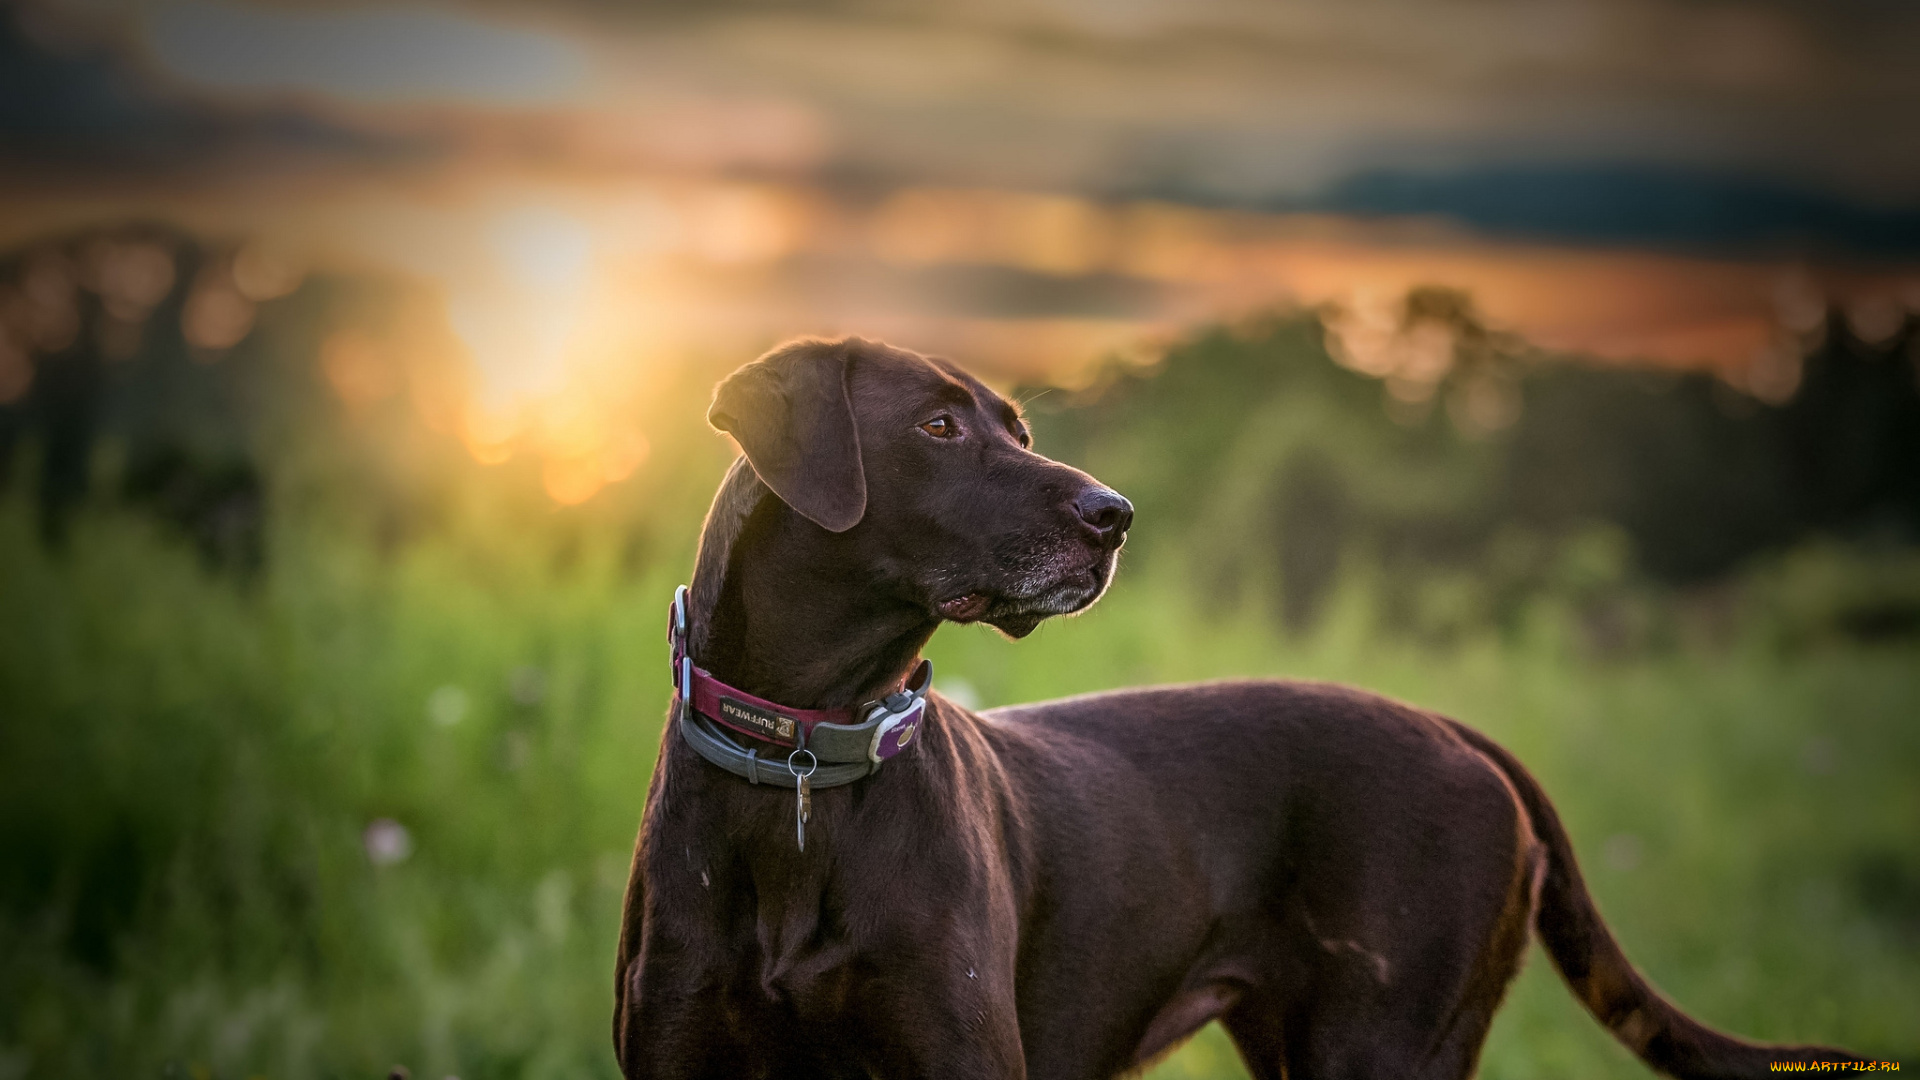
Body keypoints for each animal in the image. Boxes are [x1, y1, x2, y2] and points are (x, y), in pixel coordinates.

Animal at [610, 338, 1858, 1076]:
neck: (807, 751)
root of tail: (1458, 734)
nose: (1116, 514)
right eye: (938, 426)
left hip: (1385, 1048)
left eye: (1019, 427)